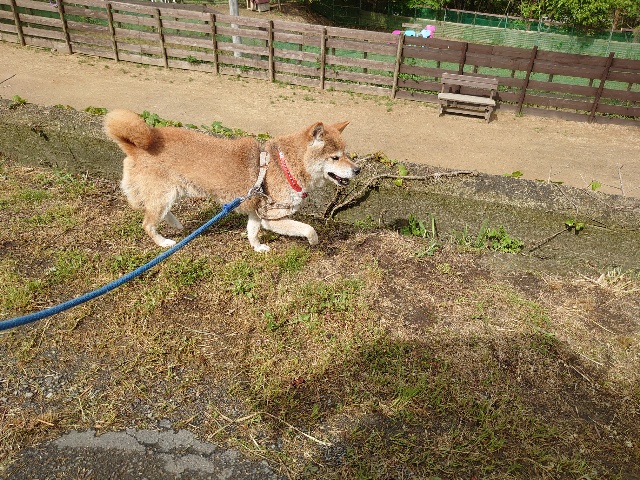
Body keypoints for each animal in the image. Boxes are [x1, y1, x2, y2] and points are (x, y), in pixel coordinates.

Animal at [104, 109, 361, 252]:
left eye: (347, 153)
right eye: (335, 157)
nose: (357, 169)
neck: (286, 165)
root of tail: (135, 147)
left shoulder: (257, 211)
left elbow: (252, 231)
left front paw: (257, 248)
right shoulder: (273, 217)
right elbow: (308, 228)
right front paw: (315, 241)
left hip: (172, 193)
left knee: (158, 213)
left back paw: (176, 224)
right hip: (164, 194)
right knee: (148, 223)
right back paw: (164, 242)